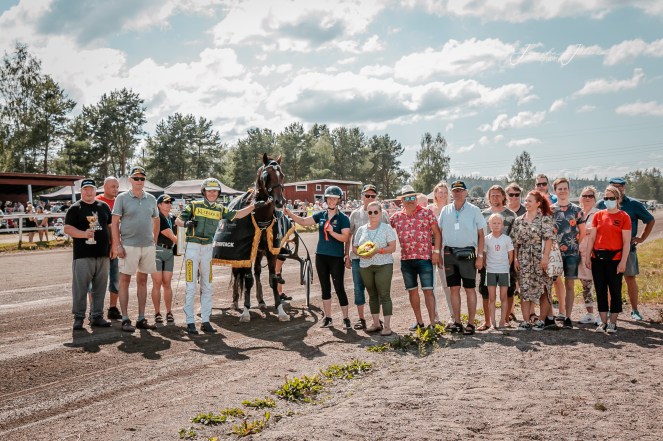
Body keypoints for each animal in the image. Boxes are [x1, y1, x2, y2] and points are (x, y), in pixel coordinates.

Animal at [228, 153, 289, 322]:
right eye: (267, 175)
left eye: (282, 175)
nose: (279, 201)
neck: (261, 216)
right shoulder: (246, 251)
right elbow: (247, 278)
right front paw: (246, 310)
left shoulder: (270, 250)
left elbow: (273, 278)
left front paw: (280, 310)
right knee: (237, 274)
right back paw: (235, 301)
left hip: (260, 251)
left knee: (257, 271)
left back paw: (261, 301)